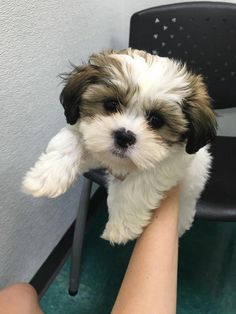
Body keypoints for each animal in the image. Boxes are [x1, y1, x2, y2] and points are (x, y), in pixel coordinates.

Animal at [23, 49, 217, 245]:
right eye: (110, 104)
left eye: (156, 120)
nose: (124, 136)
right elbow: (69, 141)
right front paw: (45, 177)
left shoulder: (171, 162)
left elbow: (138, 185)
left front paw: (121, 227)